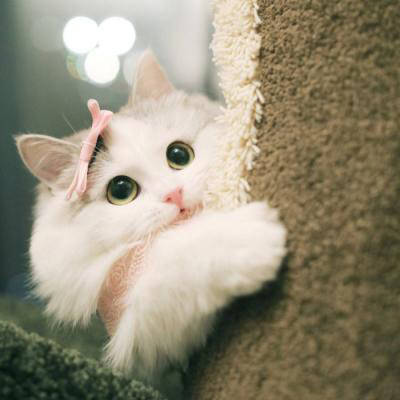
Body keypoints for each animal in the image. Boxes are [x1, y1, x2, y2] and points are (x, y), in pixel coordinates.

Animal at [16, 50, 286, 396]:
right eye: (121, 191)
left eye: (179, 155)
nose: (174, 195)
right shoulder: (141, 331)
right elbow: (183, 259)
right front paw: (255, 238)